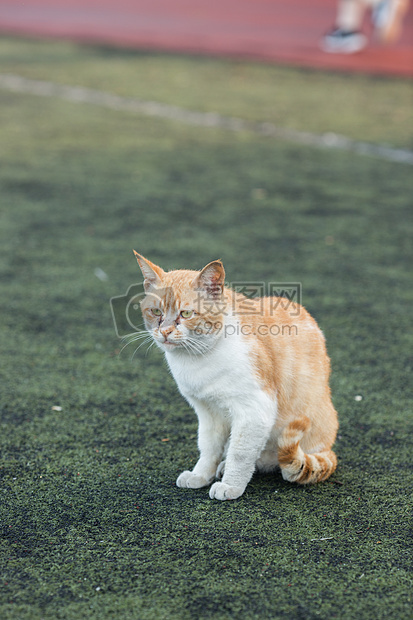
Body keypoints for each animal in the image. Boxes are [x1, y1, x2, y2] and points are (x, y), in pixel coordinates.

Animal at [134, 251, 336, 498]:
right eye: (156, 312)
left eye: (186, 313)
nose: (164, 332)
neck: (196, 360)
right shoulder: (208, 412)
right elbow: (208, 447)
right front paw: (201, 475)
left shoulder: (254, 411)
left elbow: (239, 455)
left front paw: (230, 486)